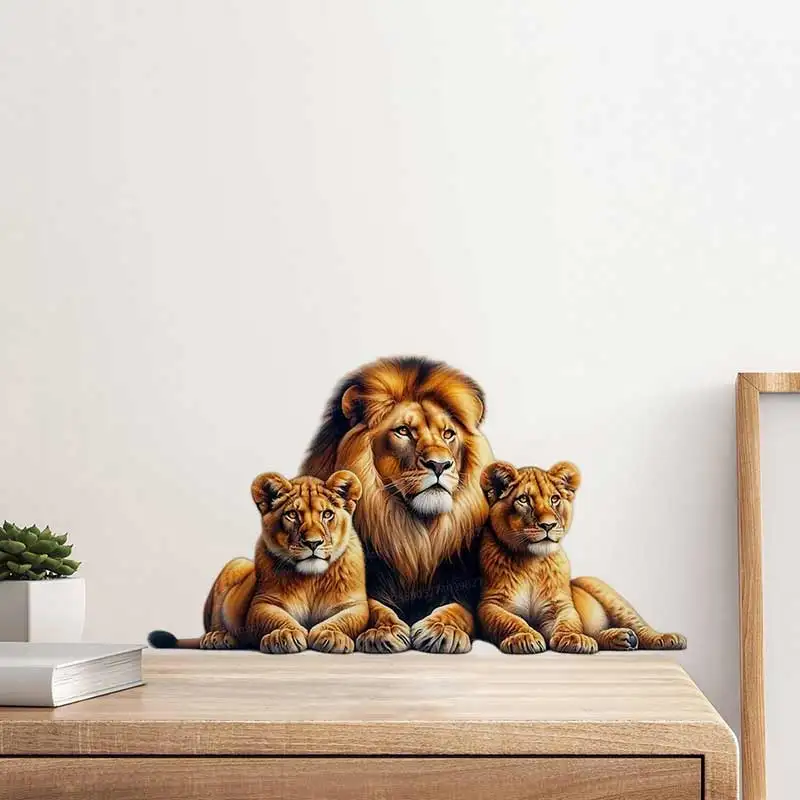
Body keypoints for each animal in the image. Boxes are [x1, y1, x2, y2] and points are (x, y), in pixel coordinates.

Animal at [148, 470, 369, 654]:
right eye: (292, 514)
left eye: (327, 514)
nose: (313, 543)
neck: (310, 580)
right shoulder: (263, 602)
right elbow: (276, 618)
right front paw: (285, 635)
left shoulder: (355, 604)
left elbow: (345, 620)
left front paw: (331, 635)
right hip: (235, 564)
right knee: (217, 620)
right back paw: (218, 637)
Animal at [301, 356, 493, 654]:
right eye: (403, 431)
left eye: (448, 434)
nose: (440, 464)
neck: (414, 536)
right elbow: (370, 607)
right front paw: (384, 631)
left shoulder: (464, 586)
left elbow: (458, 609)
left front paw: (442, 630)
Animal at [478, 460, 687, 654]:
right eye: (523, 499)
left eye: (554, 499)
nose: (548, 525)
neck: (532, 562)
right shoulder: (490, 604)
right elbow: (508, 620)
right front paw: (524, 636)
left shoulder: (561, 605)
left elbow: (570, 620)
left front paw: (573, 638)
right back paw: (623, 638)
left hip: (603, 591)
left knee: (640, 626)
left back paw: (665, 638)